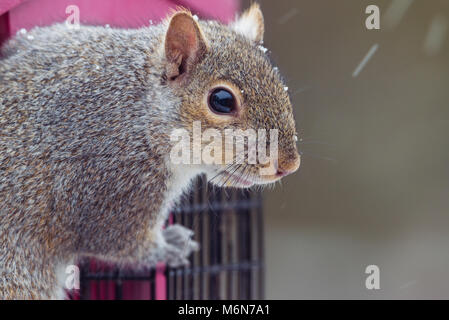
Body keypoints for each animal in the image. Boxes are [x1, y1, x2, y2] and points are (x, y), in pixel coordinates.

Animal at [0, 3, 300, 298]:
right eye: (222, 100)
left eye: (279, 84)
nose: (289, 165)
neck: (141, 108)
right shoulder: (113, 183)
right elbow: (116, 240)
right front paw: (171, 246)